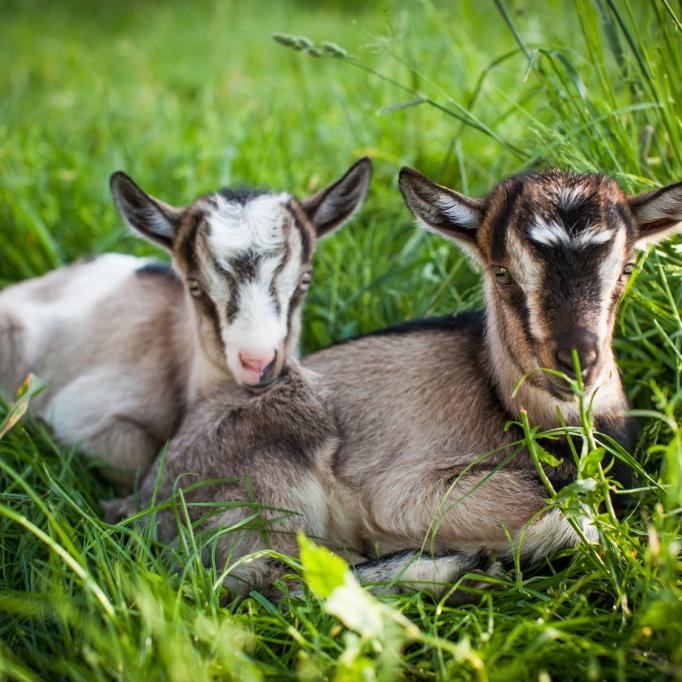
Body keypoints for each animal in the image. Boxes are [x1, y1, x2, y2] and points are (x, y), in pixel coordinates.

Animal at [107, 168, 682, 599]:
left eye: (626, 267)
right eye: (501, 273)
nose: (577, 363)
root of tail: (145, 499)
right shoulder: (400, 493)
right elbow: (577, 514)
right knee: (282, 579)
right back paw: (458, 571)